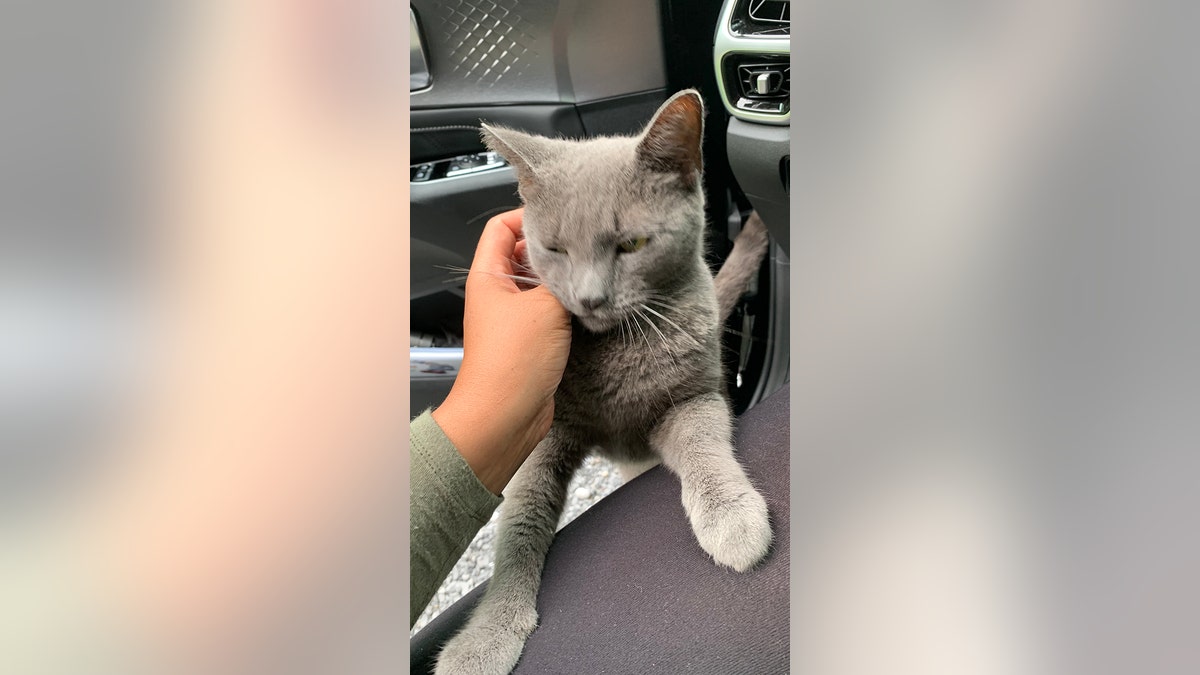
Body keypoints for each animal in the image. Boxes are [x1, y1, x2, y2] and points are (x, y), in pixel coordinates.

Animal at [436, 90, 772, 672]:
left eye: (631, 243)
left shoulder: (694, 396)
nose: (590, 298)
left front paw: (733, 522)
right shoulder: (545, 434)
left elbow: (703, 445)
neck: (617, 350)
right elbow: (518, 525)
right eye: (555, 249)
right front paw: (483, 639)